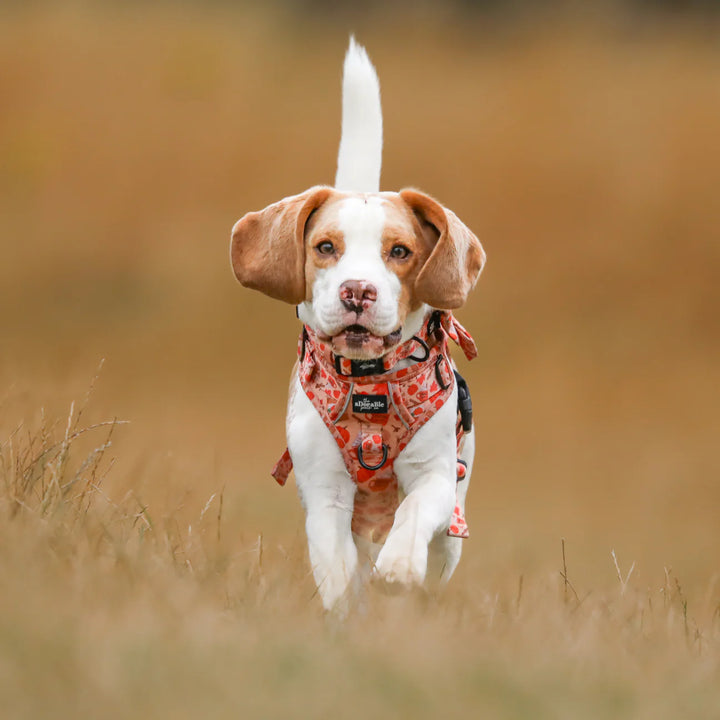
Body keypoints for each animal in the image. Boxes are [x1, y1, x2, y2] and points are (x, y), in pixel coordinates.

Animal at [231, 38, 486, 612]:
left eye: (401, 251)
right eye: (326, 247)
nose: (357, 291)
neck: (370, 383)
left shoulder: (436, 477)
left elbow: (414, 515)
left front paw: (400, 566)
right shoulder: (324, 492)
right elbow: (337, 568)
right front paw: (347, 607)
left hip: (453, 533)